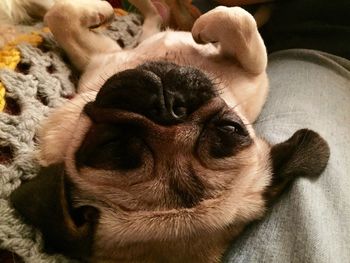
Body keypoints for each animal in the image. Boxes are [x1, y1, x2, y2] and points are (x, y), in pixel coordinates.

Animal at [8, 1, 330, 262]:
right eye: (230, 129)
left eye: (111, 146)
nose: (168, 107)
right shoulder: (98, 59)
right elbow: (60, 15)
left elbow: (240, 23)